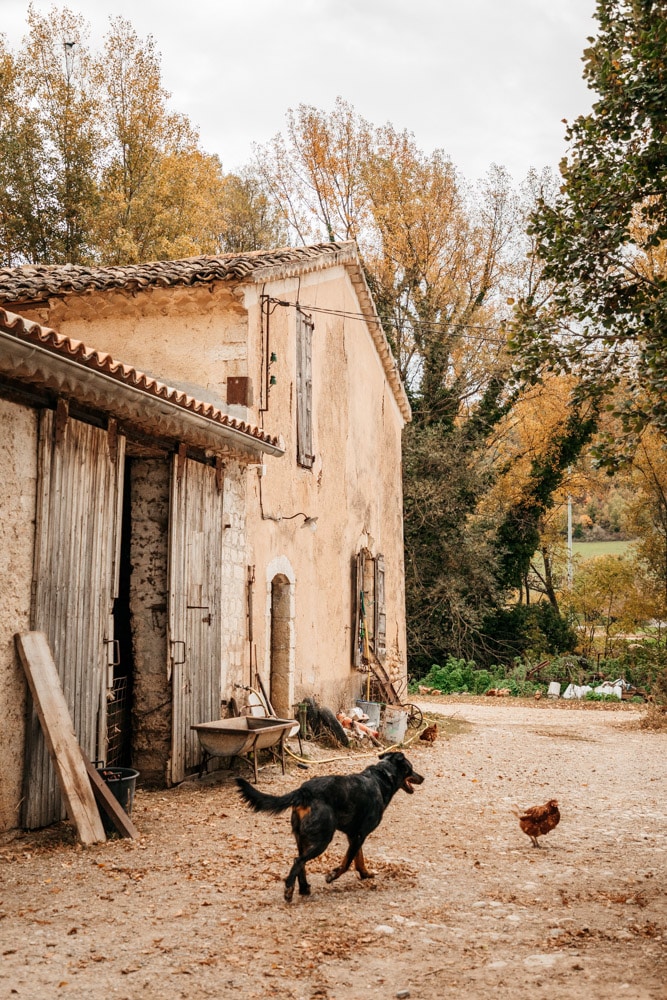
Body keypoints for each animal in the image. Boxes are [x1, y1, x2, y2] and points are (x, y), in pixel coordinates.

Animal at [236, 752, 422, 904]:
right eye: (411, 768)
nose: (423, 778)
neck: (382, 776)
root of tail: (304, 791)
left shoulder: (354, 836)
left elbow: (359, 859)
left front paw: (365, 874)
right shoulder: (359, 835)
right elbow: (347, 863)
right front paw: (332, 876)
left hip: (302, 838)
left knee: (300, 861)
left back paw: (304, 888)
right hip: (322, 839)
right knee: (298, 861)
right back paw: (289, 890)